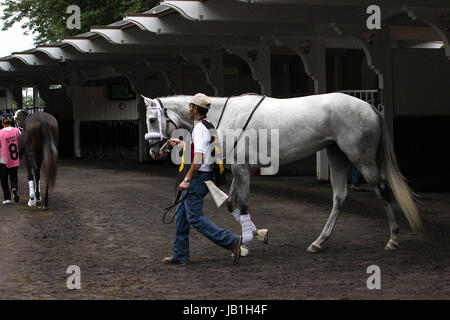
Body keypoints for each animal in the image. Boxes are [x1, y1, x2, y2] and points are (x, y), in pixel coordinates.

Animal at [143, 93, 422, 255]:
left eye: (152, 120)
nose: (154, 150)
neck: (226, 114)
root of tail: (369, 107)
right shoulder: (239, 169)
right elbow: (232, 204)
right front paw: (259, 234)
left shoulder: (242, 169)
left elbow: (243, 204)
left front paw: (246, 243)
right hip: (337, 155)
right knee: (339, 197)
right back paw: (318, 242)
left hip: (360, 157)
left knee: (382, 190)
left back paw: (393, 239)